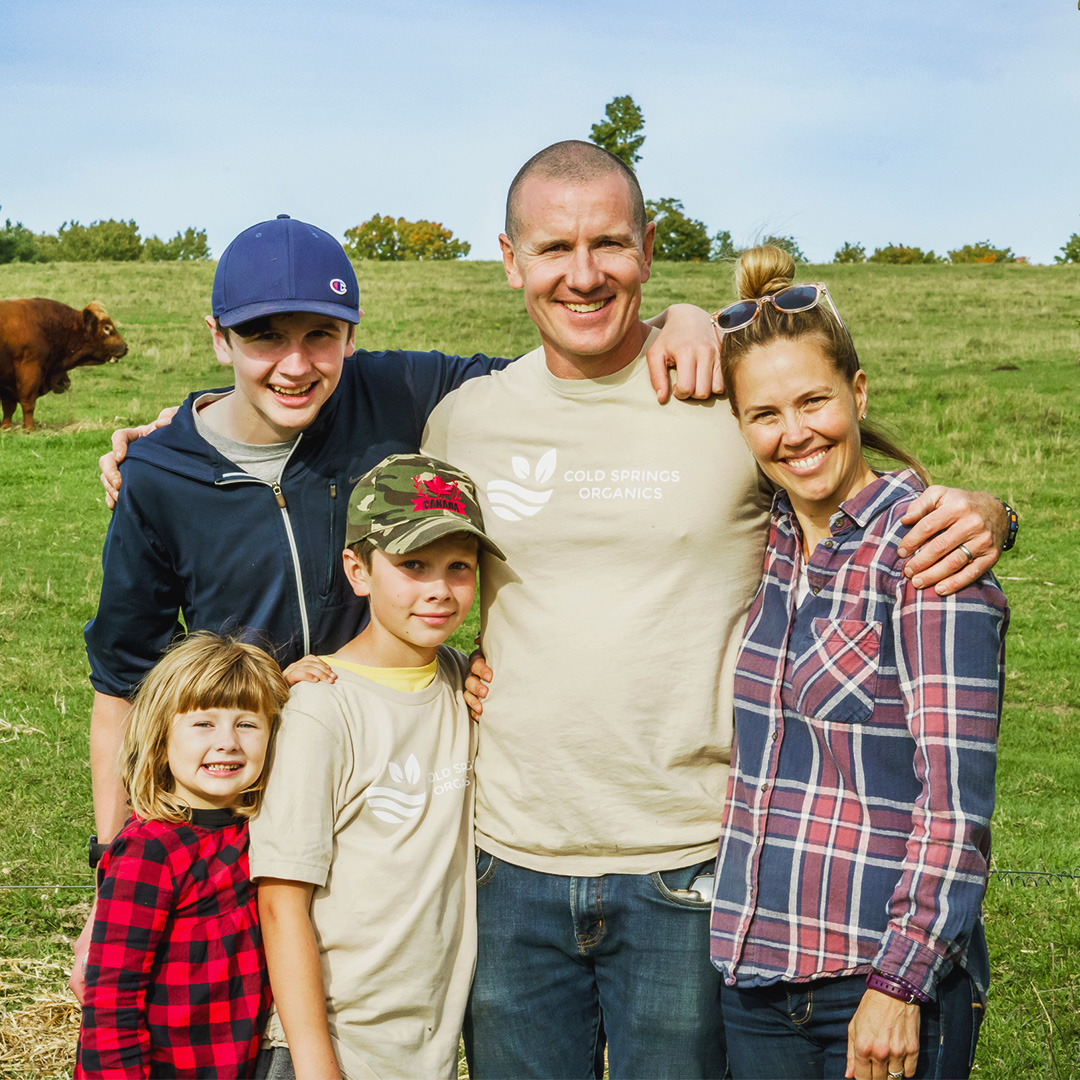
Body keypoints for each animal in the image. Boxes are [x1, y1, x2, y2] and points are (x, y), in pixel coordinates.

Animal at [0, 298, 128, 432]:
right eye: (106, 328)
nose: (125, 347)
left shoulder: (7, 382)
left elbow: (9, 407)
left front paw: (6, 427)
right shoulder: (30, 370)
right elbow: (28, 403)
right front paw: (30, 429)